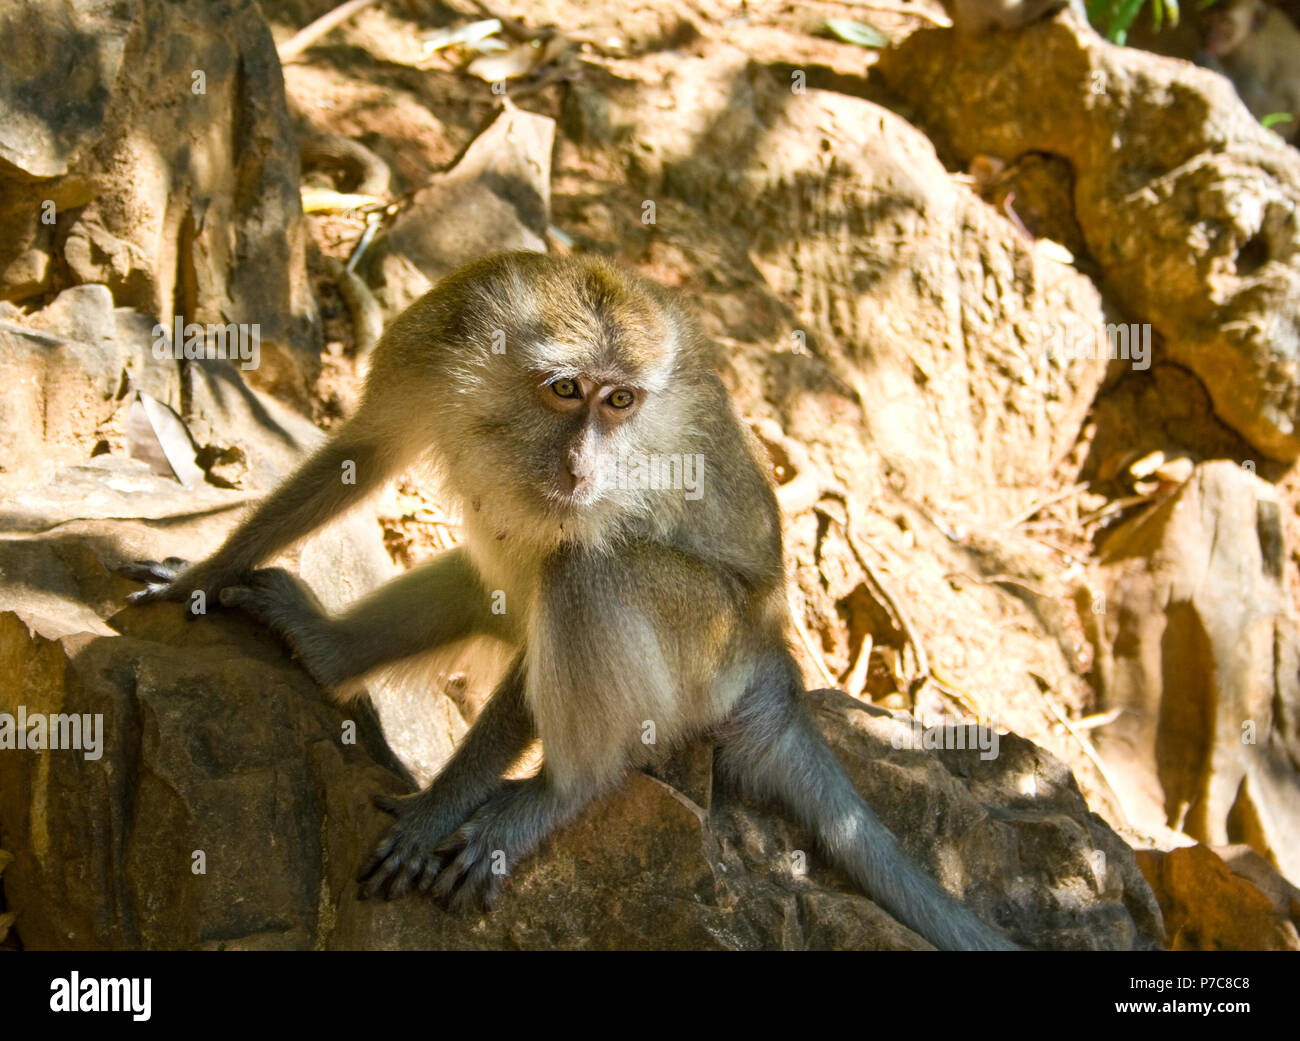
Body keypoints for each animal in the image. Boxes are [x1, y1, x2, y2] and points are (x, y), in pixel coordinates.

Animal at [122, 248, 1013, 946]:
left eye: (619, 401)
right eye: (565, 389)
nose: (584, 463)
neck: (500, 411)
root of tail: (773, 657)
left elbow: (576, 564)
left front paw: (440, 807)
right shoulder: (431, 340)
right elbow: (360, 457)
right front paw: (208, 572)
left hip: (709, 643)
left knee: (583, 573)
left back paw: (564, 788)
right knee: (492, 582)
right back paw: (326, 646)